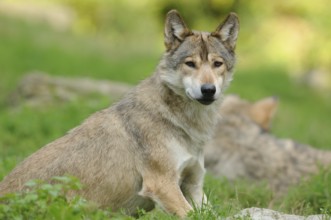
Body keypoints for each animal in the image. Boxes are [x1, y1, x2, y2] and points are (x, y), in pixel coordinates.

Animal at [0, 9, 240, 217]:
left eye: (217, 64)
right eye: (190, 64)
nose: (208, 90)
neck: (183, 121)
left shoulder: (194, 185)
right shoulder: (163, 185)